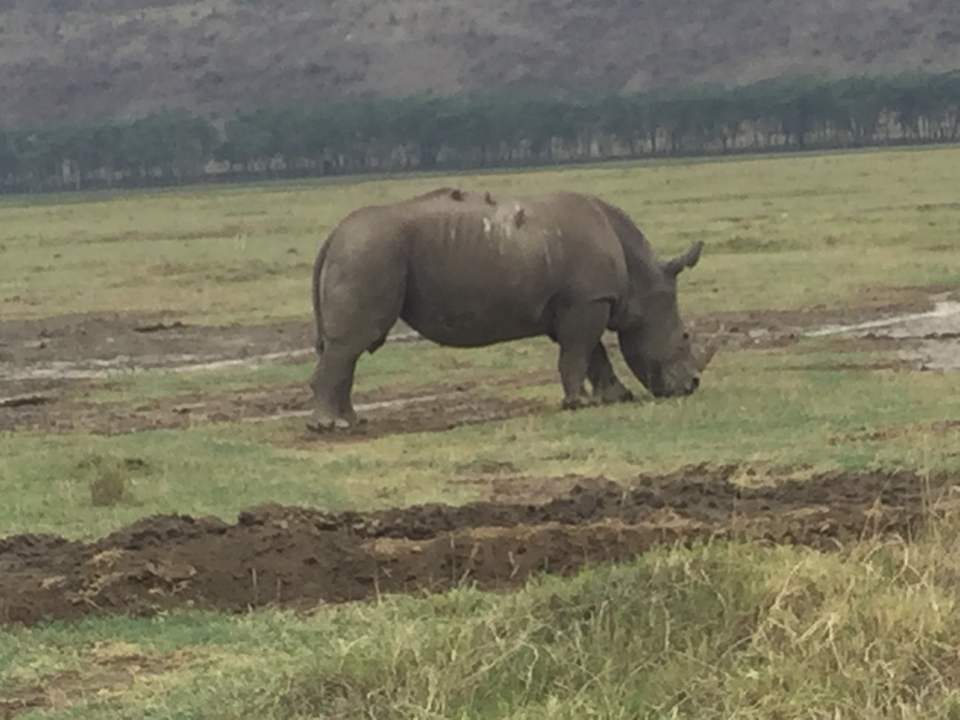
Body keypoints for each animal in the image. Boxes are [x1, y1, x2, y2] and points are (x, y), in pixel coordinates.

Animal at [307, 187, 713, 430]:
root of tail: (333, 235)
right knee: (352, 343)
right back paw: (330, 426)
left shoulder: (583, 302)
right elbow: (578, 353)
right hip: (368, 252)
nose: (691, 386)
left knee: (348, 348)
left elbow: (593, 354)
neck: (641, 277)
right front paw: (577, 404)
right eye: (684, 336)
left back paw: (351, 422)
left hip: (362, 250)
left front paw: (616, 398)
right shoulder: (587, 302)